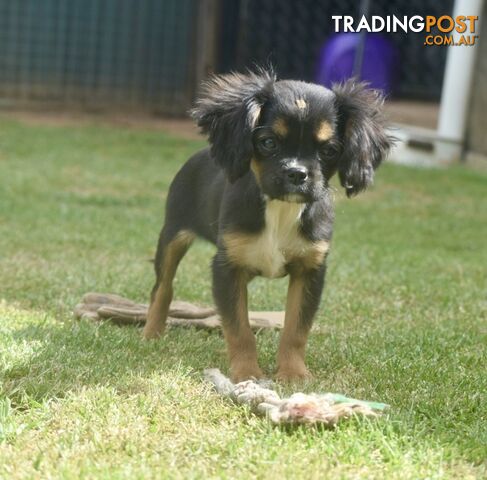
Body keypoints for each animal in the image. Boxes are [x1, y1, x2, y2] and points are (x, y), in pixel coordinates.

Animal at [143, 68, 394, 382]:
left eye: (329, 150)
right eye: (268, 142)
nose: (297, 173)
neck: (281, 208)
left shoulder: (310, 269)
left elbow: (296, 328)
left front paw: (293, 373)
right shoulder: (227, 267)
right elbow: (239, 327)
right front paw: (246, 372)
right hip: (173, 234)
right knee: (163, 286)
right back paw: (152, 332)